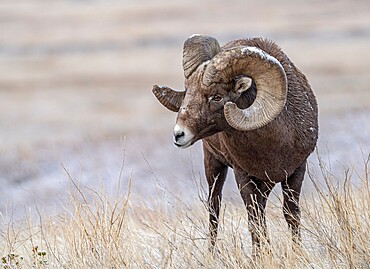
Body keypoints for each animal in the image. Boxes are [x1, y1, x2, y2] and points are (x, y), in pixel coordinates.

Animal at [152, 34, 318, 251]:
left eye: (217, 97)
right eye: (188, 92)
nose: (179, 134)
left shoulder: (296, 171)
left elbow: (291, 216)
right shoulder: (243, 176)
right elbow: (255, 222)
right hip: (214, 166)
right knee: (214, 208)